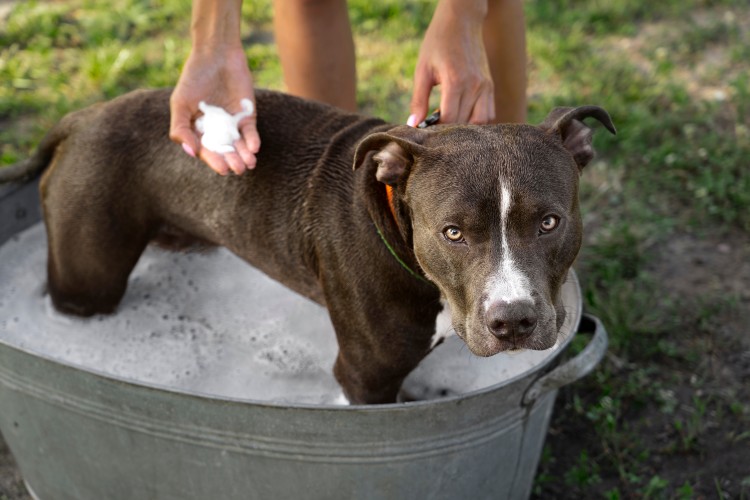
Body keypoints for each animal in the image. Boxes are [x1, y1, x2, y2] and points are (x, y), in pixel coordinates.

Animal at [1, 89, 616, 402]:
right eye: (454, 232)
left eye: (549, 222)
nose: (512, 321)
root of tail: (81, 116)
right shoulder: (365, 377)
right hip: (87, 279)